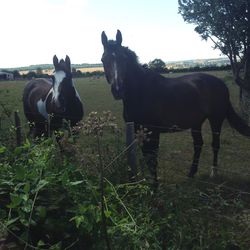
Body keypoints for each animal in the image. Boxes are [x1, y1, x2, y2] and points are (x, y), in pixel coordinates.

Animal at [100, 29, 250, 186]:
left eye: (123, 59)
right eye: (103, 60)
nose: (117, 90)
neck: (141, 92)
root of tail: (221, 84)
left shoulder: (153, 132)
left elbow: (153, 158)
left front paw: (155, 186)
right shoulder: (137, 130)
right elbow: (146, 157)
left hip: (216, 119)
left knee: (215, 144)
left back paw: (213, 173)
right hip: (196, 122)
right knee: (198, 144)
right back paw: (191, 174)